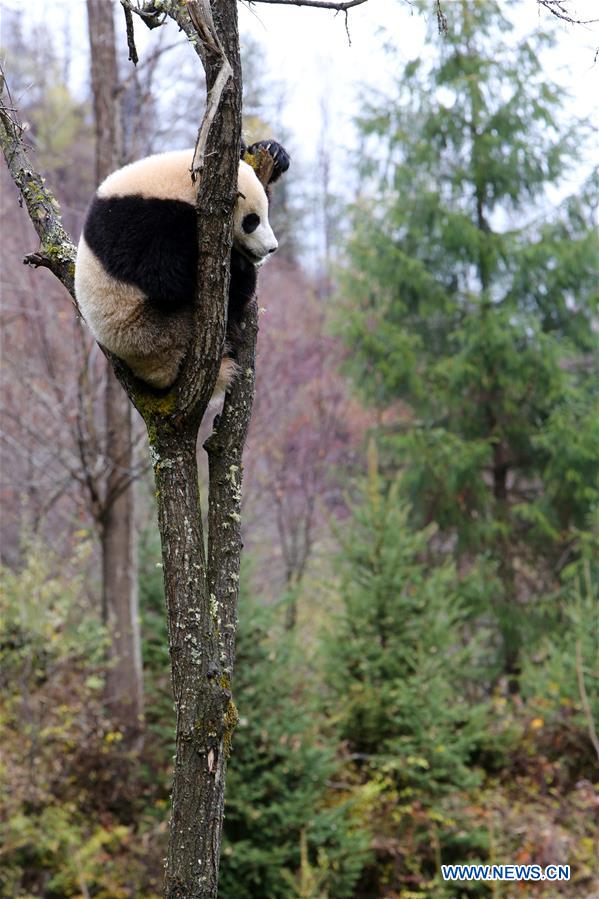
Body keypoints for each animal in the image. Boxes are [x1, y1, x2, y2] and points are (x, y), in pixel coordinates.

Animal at [75, 139, 290, 392]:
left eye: (265, 215)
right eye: (252, 221)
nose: (271, 248)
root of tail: (157, 376)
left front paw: (272, 151)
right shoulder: (141, 221)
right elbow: (165, 278)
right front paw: (234, 263)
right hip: (154, 332)